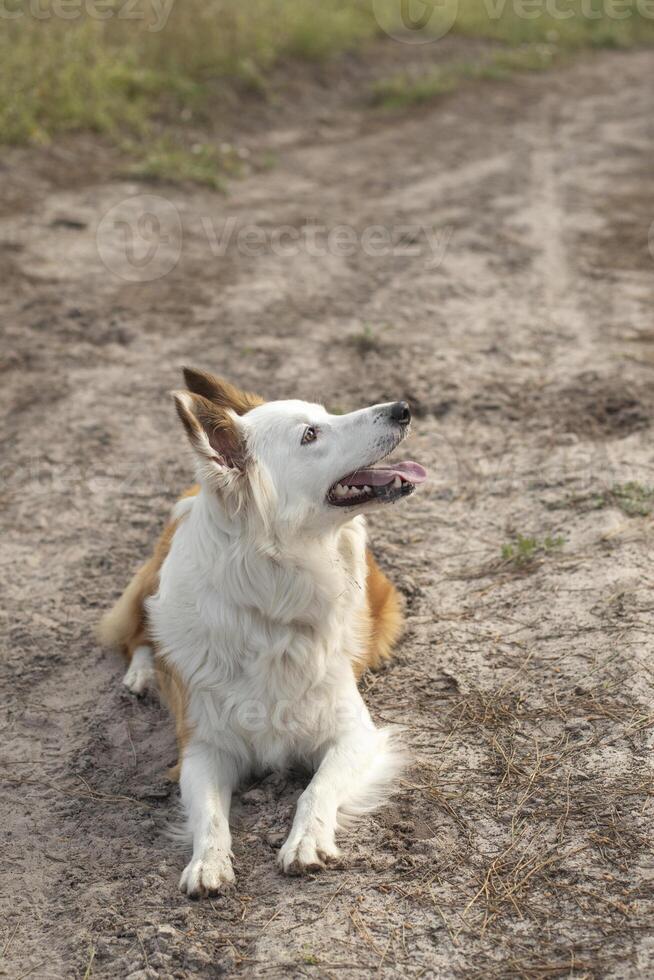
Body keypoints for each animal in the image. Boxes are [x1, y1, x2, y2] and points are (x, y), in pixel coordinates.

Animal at [97, 368, 426, 896]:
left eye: (325, 412)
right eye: (310, 435)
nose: (402, 409)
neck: (273, 603)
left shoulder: (354, 732)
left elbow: (316, 790)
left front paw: (307, 841)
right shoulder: (203, 746)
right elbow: (210, 814)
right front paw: (207, 862)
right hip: (149, 585)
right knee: (136, 636)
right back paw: (144, 674)